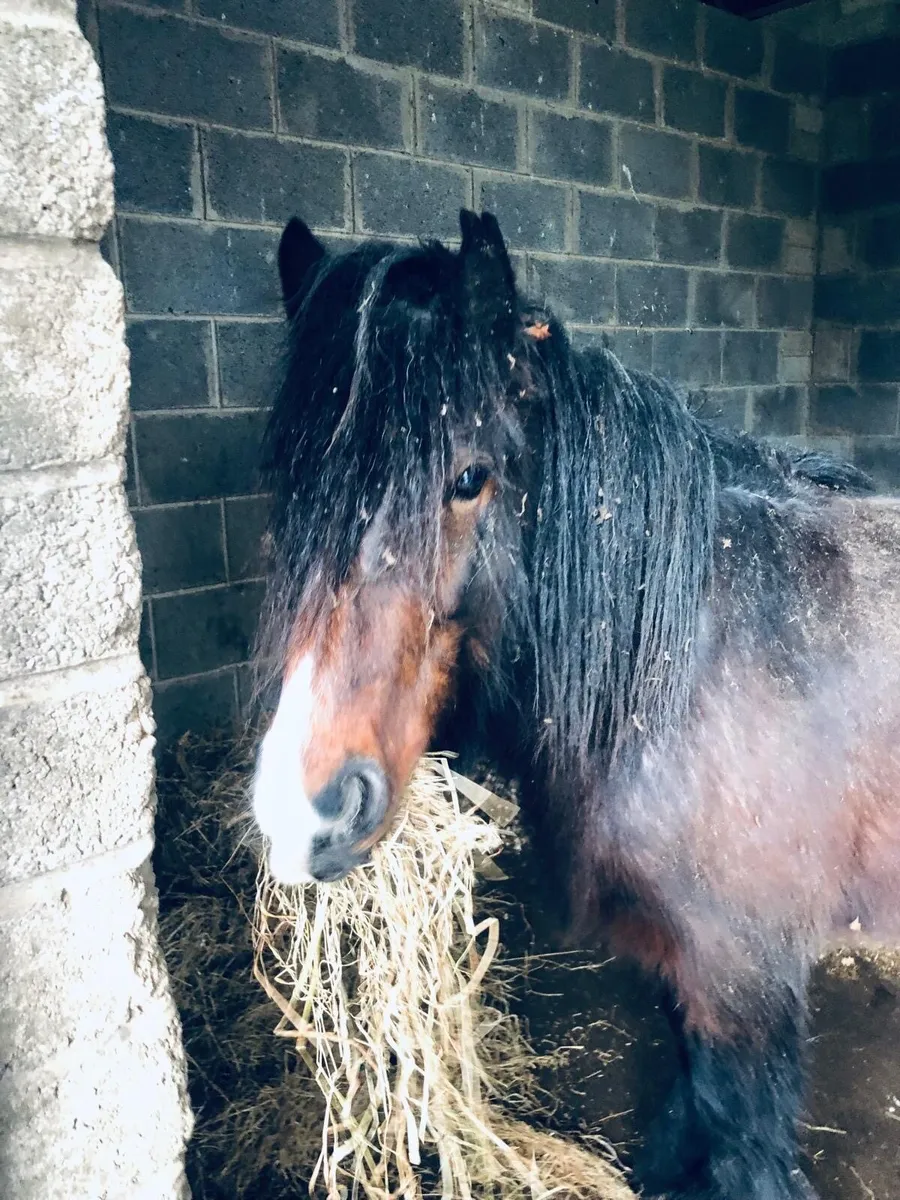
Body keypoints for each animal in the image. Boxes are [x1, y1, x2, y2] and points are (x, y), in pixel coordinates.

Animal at [249, 208, 900, 1200]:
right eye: (292, 482)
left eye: (470, 477)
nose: (305, 806)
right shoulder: (686, 968)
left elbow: (743, 1144)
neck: (682, 663)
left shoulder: (748, 980)